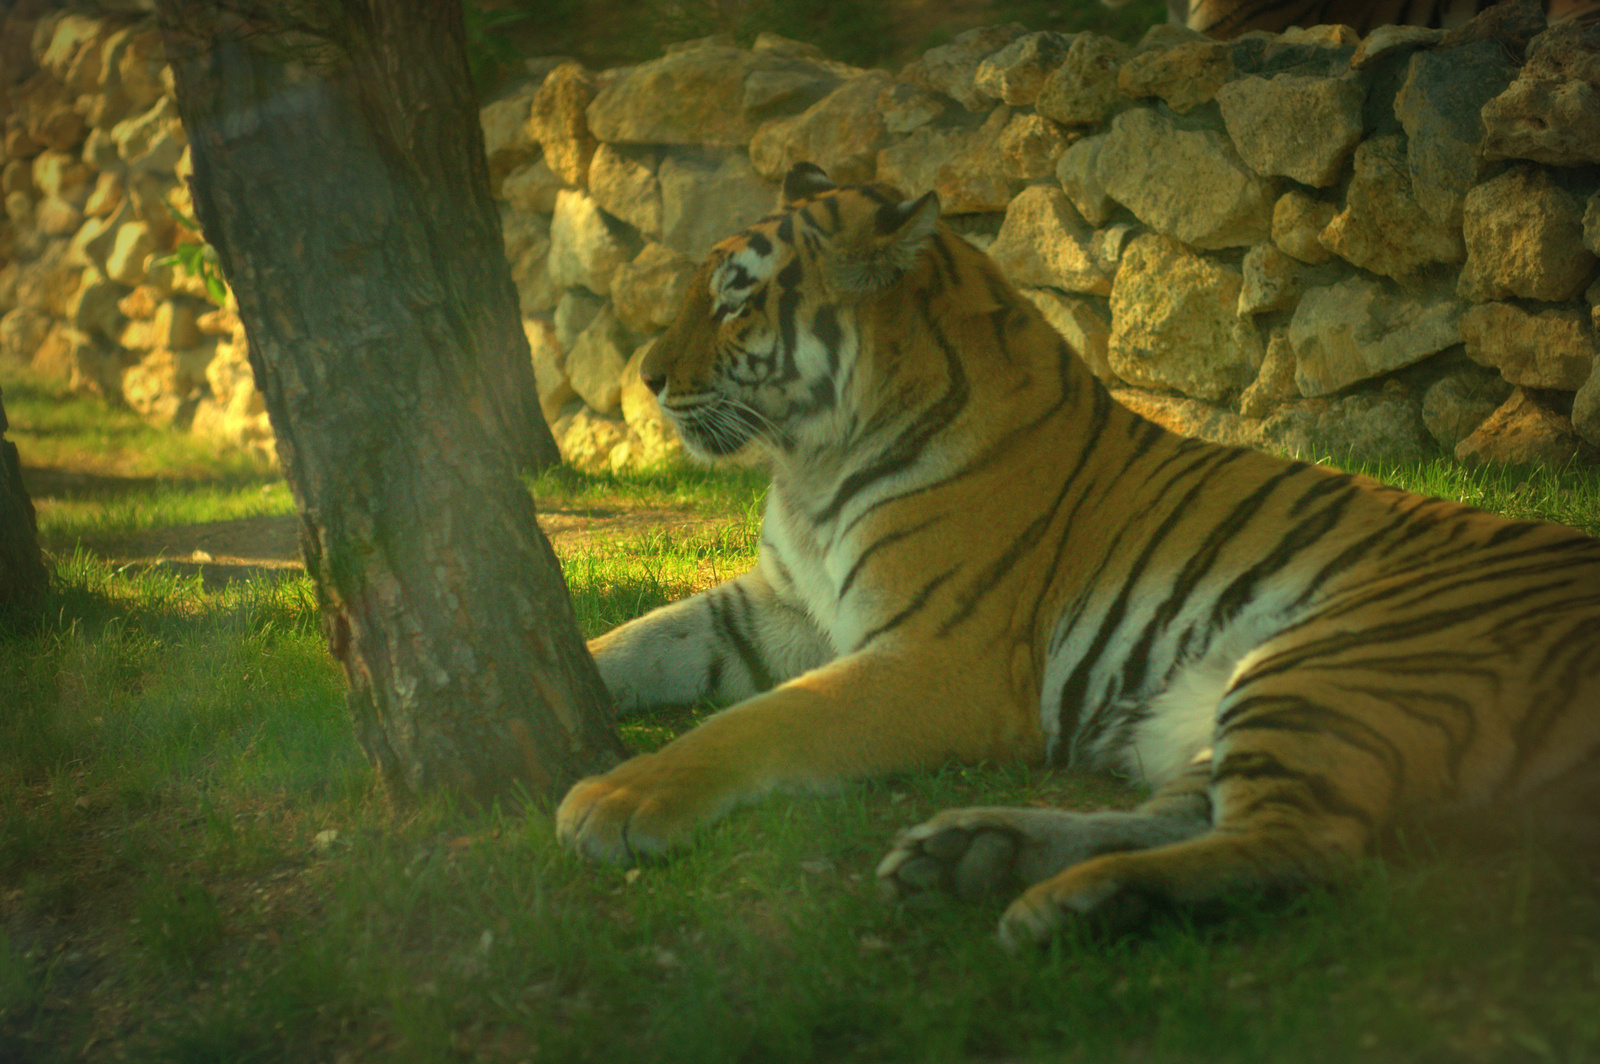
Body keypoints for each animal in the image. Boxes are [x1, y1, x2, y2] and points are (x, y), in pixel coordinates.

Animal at [553, 164, 1600, 947]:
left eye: (736, 302)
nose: (647, 378)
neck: (809, 464)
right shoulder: (779, 608)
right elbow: (635, 643)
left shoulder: (936, 657)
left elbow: (761, 723)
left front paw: (617, 797)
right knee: (1201, 813)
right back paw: (979, 858)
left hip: (1345, 658)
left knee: (1306, 846)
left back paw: (1074, 902)